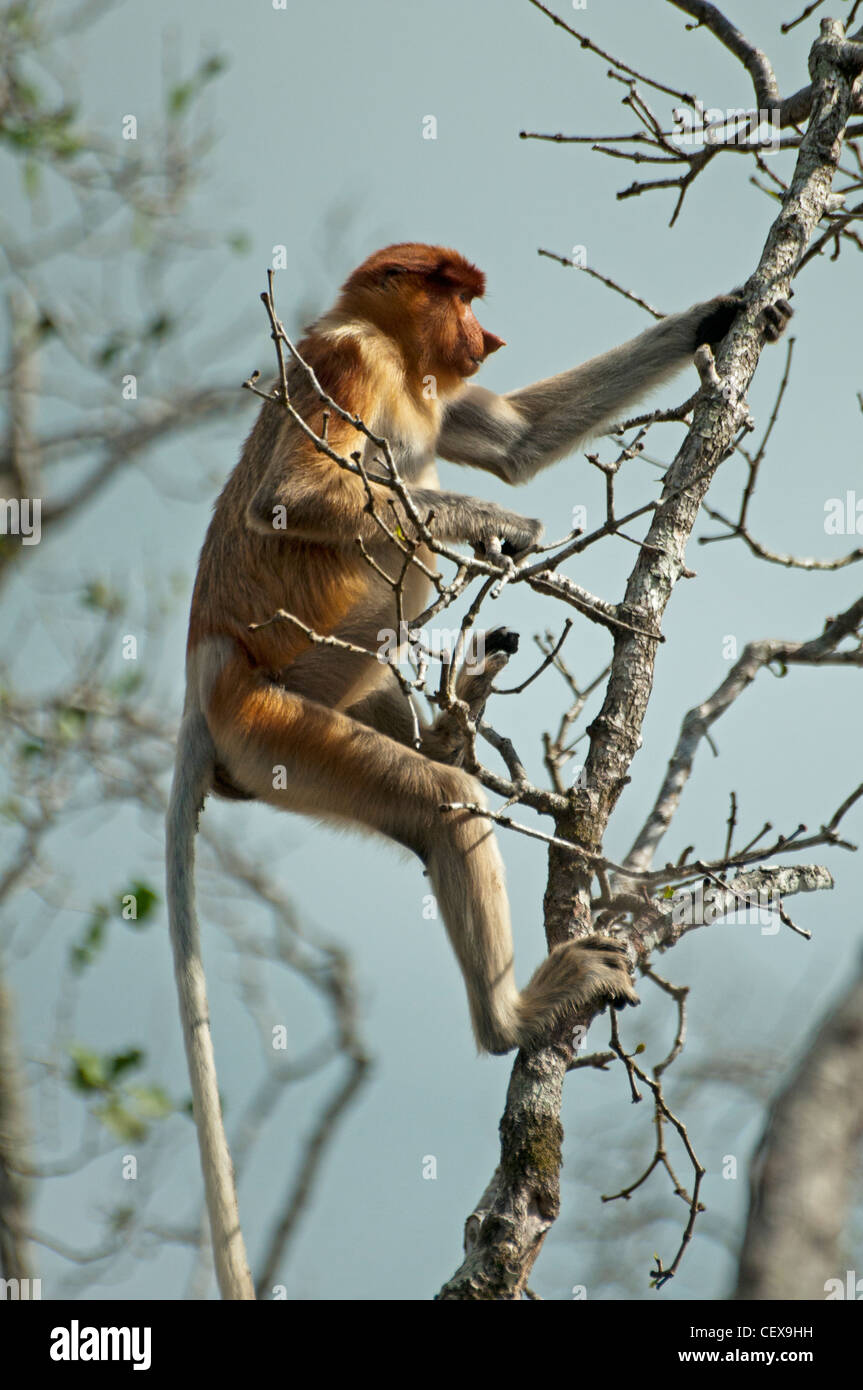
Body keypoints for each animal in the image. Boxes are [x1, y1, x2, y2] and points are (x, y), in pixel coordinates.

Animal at [166, 243, 792, 1296]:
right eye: (453, 292)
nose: (484, 336)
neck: (399, 355)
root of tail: (205, 667)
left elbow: (516, 440)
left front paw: (725, 313)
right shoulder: (348, 364)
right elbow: (293, 499)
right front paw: (497, 521)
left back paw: (456, 720)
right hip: (274, 724)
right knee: (435, 793)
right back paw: (514, 1012)